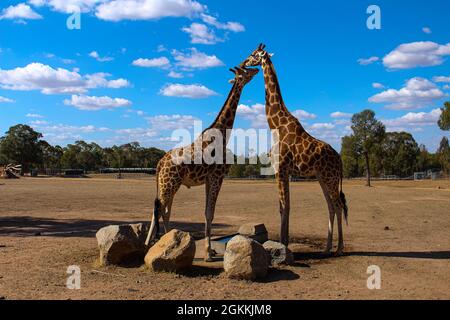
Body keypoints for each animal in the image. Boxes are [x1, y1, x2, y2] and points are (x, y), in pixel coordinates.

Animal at [142, 66, 258, 262]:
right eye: (247, 70)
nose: (257, 69)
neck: (221, 134)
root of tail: (159, 163)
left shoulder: (209, 179)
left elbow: (206, 213)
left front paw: (209, 251)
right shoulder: (218, 177)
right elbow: (210, 212)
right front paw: (208, 255)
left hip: (168, 184)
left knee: (163, 210)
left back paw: (161, 242)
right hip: (169, 184)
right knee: (160, 208)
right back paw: (159, 243)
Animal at [239, 44, 348, 255]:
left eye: (253, 54)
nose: (242, 62)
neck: (276, 125)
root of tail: (339, 159)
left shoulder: (280, 169)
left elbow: (284, 207)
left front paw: (283, 245)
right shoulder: (285, 171)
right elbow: (285, 207)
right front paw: (285, 243)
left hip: (330, 177)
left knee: (338, 205)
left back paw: (339, 248)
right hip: (322, 177)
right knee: (331, 206)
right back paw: (327, 248)